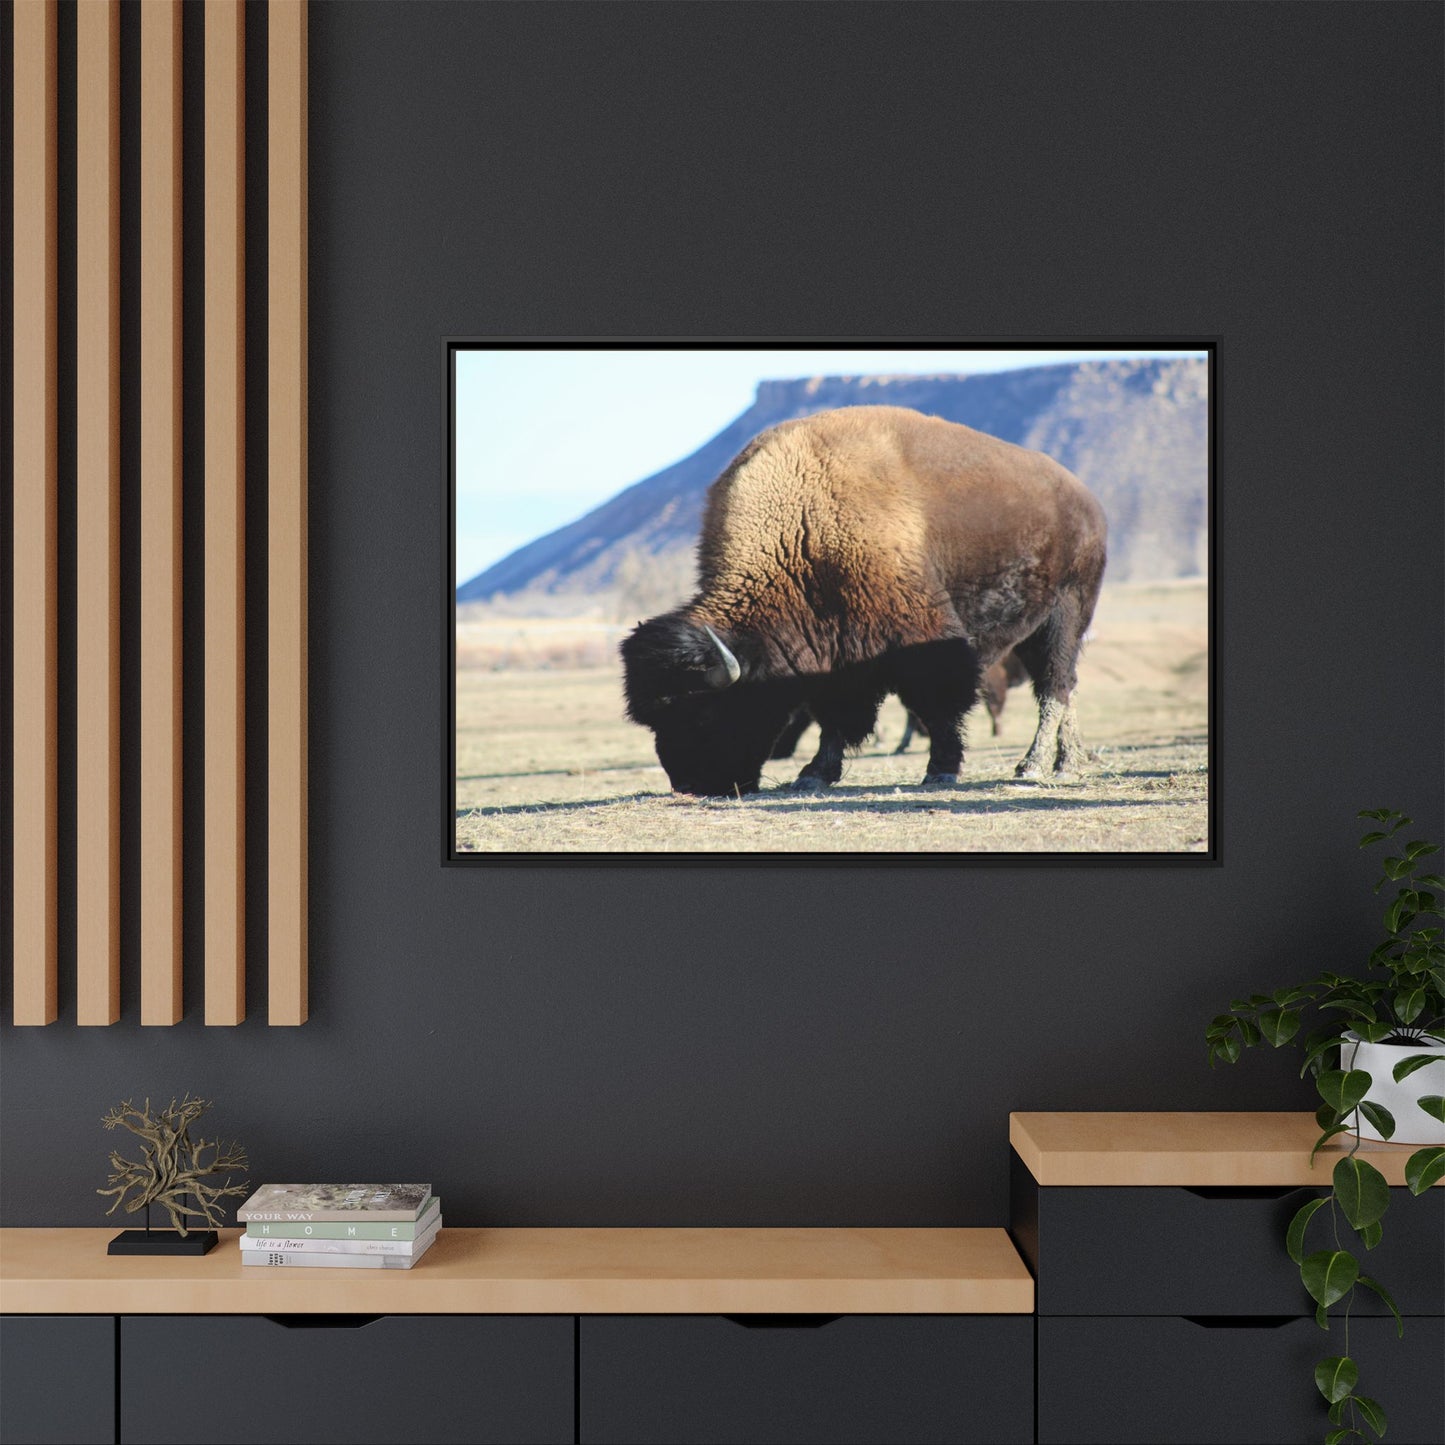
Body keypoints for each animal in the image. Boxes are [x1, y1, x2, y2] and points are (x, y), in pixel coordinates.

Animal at [621, 405, 1107, 797]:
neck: (802, 528)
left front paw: (941, 770)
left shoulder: (922, 639)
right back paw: (1069, 761)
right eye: (654, 720)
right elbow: (834, 716)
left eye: (702, 712)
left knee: (1054, 685)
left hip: (1066, 614)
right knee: (1063, 686)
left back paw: (1038, 766)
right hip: (1034, 628)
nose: (691, 784)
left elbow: (939, 704)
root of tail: (1085, 500)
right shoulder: (834, 654)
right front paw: (813, 774)